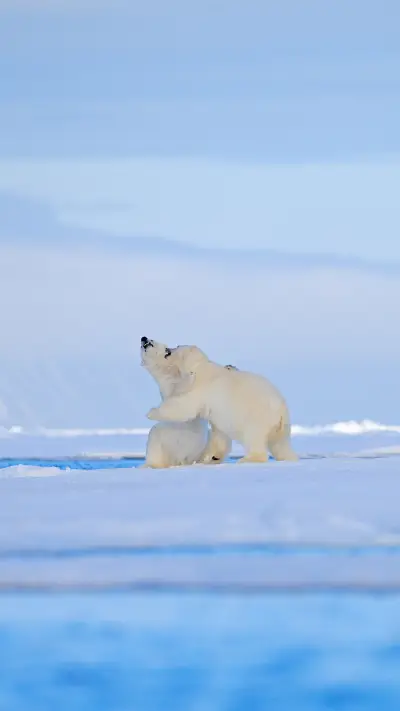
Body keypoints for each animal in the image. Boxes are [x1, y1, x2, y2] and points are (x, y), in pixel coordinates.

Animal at [140, 337, 233, 468]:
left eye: (152, 340)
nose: (144, 338)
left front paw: (228, 367)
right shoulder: (170, 386)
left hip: (202, 447)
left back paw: (214, 457)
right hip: (160, 441)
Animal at [147, 345, 298, 464]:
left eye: (176, 347)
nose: (168, 349)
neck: (201, 369)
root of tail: (281, 410)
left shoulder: (202, 389)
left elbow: (184, 407)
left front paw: (151, 412)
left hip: (257, 417)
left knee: (254, 438)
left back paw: (247, 459)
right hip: (282, 427)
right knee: (281, 444)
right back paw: (288, 458)